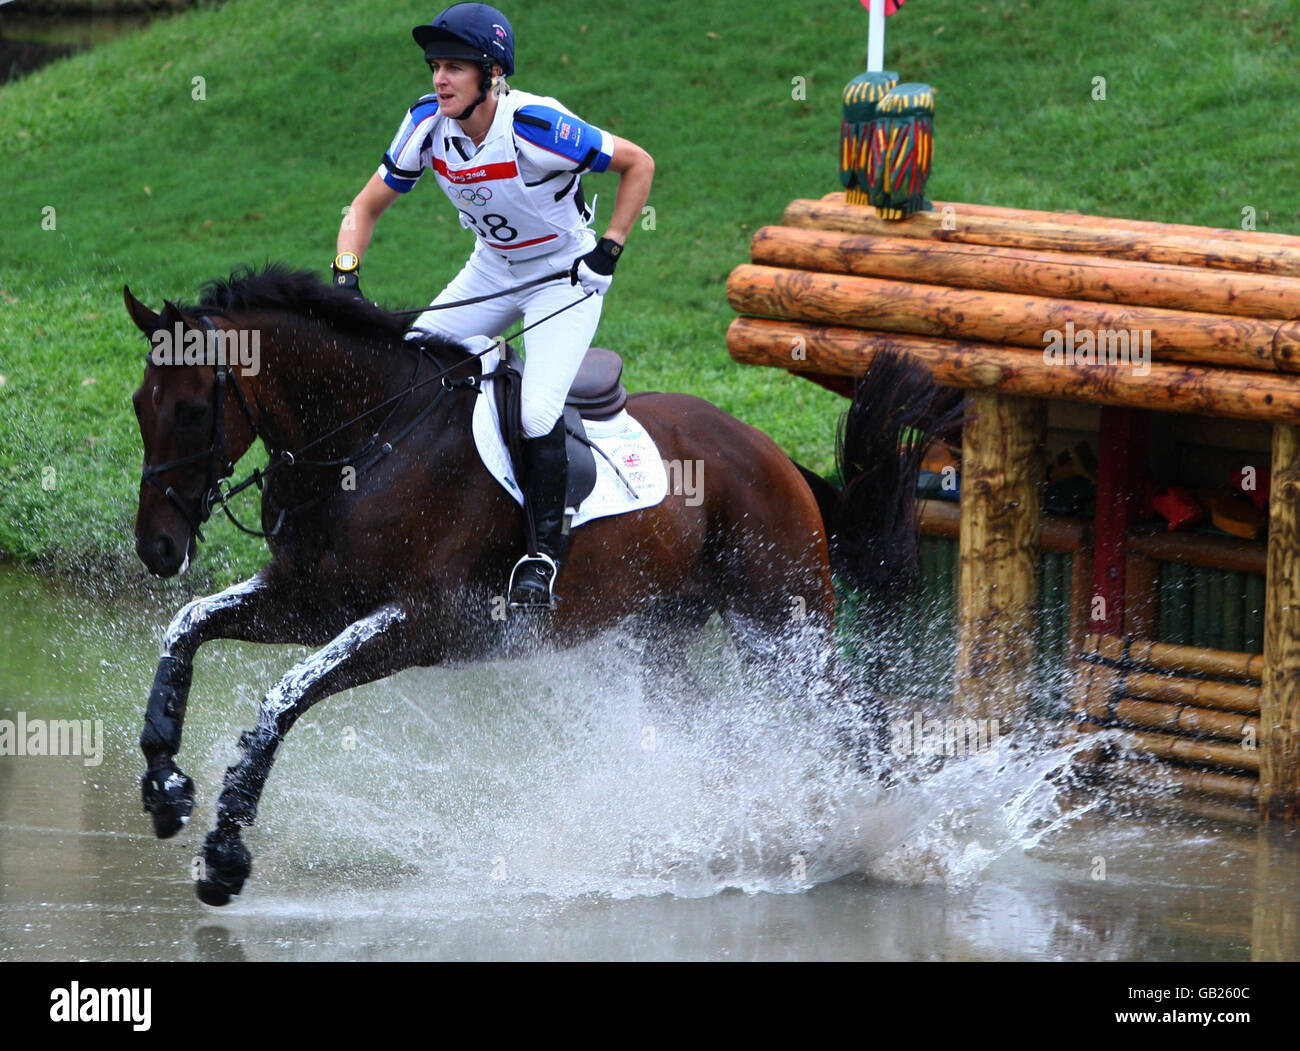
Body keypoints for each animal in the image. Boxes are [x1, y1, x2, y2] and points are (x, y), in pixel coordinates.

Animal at [124, 265, 946, 905]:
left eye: (193, 408)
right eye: (139, 405)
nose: (157, 547)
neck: (367, 440)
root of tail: (767, 449)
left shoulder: (417, 623)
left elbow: (281, 700)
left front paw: (224, 855)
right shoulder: (308, 600)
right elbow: (187, 626)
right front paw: (165, 784)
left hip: (781, 625)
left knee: (860, 718)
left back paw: (895, 841)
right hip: (663, 638)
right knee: (720, 735)